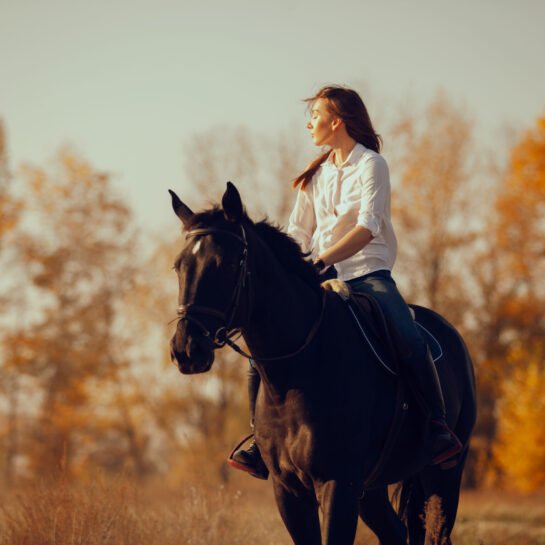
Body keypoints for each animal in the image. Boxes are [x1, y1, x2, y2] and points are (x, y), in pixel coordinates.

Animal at [168, 183, 474, 544]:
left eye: (227, 264)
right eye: (179, 266)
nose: (186, 349)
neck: (299, 370)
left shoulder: (337, 484)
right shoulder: (289, 490)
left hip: (444, 473)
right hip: (372, 489)